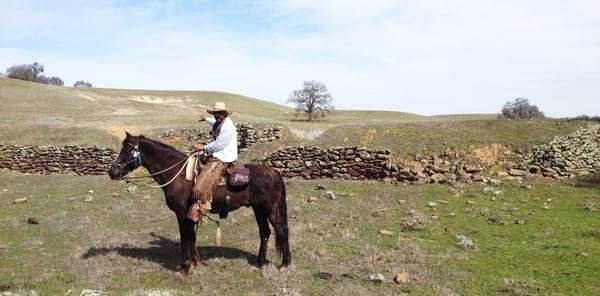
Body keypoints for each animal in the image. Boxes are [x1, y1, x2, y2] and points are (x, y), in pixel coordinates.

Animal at [108, 133, 290, 274]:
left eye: (127, 150)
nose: (112, 172)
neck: (178, 174)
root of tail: (274, 172)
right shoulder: (190, 213)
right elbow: (192, 237)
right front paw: (195, 262)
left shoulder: (181, 213)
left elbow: (185, 238)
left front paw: (184, 267)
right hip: (258, 209)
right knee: (265, 232)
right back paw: (260, 262)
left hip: (270, 209)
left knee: (281, 231)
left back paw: (284, 265)